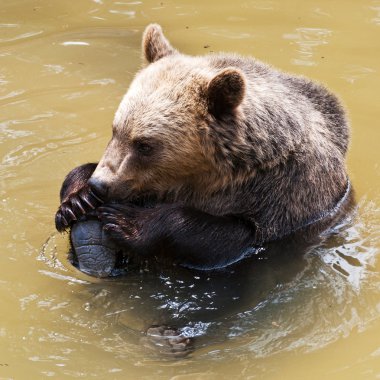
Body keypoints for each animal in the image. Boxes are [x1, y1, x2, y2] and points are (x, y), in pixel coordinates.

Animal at [55, 23, 352, 270]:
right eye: (115, 130)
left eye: (145, 145)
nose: (100, 185)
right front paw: (78, 199)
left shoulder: (285, 200)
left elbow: (220, 235)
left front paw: (124, 220)